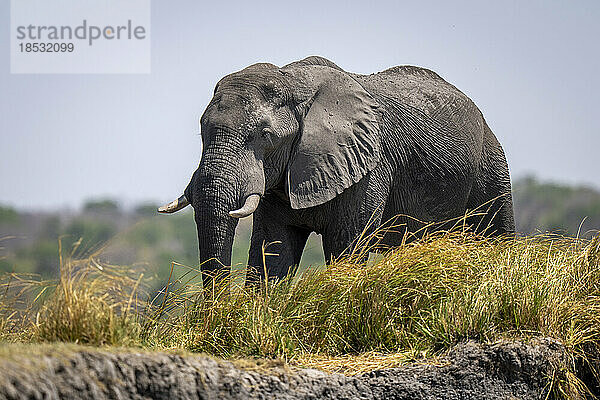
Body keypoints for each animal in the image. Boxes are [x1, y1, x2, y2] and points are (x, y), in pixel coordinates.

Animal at [159, 56, 516, 286]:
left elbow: (347, 245)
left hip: (491, 163)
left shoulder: (368, 164)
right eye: (202, 129)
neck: (294, 81)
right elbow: (273, 248)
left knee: (497, 234)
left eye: (265, 135)